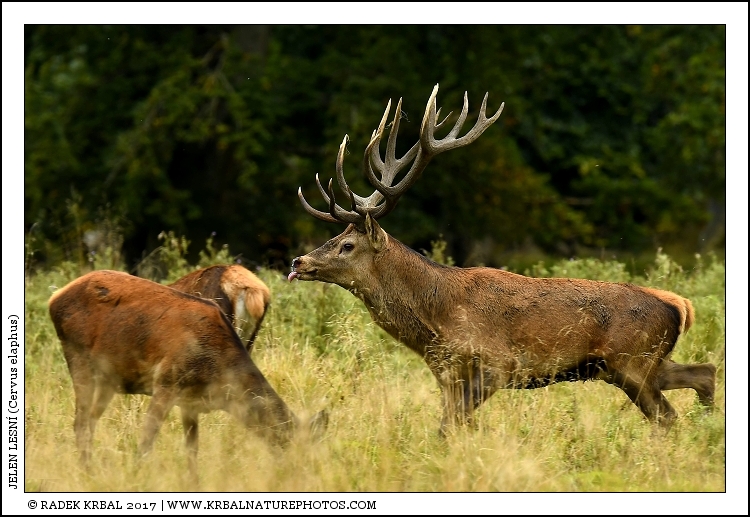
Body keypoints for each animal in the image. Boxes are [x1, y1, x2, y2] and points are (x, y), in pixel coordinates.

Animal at [48, 269, 326, 480]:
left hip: (108, 377)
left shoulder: (190, 401)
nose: (307, 475)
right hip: (77, 356)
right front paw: (136, 478)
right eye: (293, 446)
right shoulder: (166, 381)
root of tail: (54, 298)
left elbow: (192, 450)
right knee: (80, 422)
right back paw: (87, 472)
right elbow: (146, 441)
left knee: (90, 421)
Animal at [288, 84, 716, 435]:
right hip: (640, 364)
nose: (298, 262)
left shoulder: (498, 365)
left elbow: (450, 428)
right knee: (705, 373)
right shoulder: (448, 375)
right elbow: (450, 427)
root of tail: (679, 306)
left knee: (668, 417)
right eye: (333, 237)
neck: (435, 322)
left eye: (347, 245)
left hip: (633, 363)